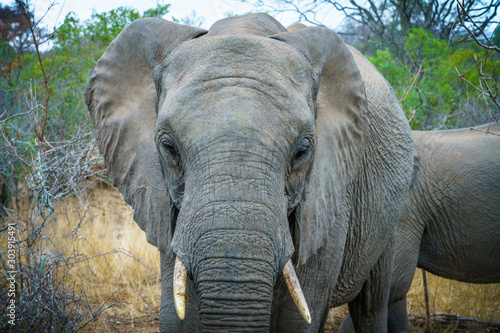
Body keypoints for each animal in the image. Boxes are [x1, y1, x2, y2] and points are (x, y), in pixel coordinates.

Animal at [86, 13, 414, 332]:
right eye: (168, 147)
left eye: (302, 151)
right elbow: (178, 315)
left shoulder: (330, 198)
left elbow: (297, 319)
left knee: (372, 306)